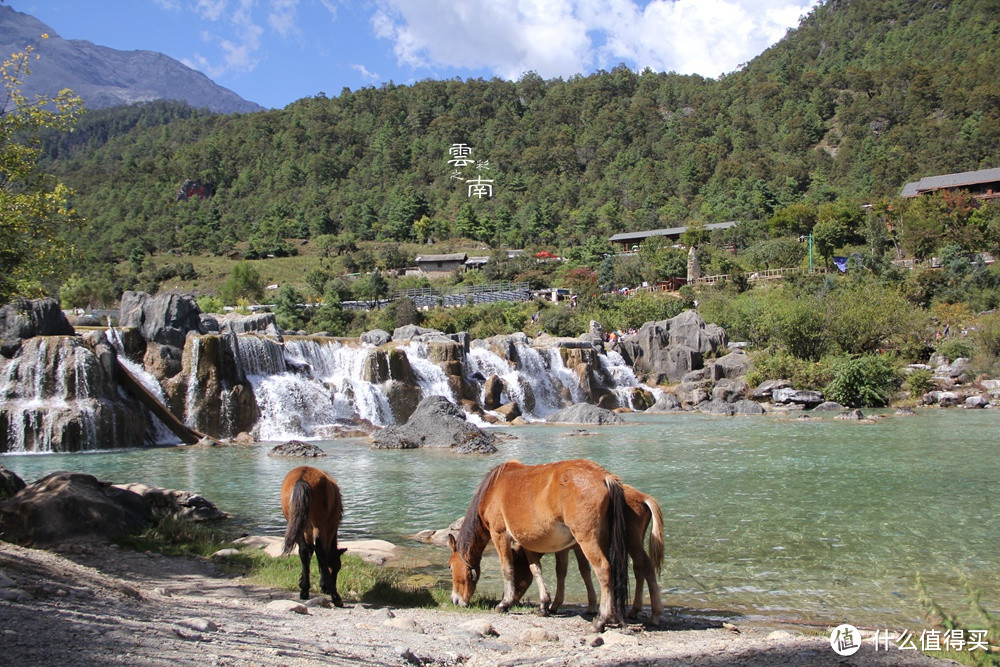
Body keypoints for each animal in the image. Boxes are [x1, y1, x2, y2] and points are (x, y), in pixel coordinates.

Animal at [280, 470, 346, 604]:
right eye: (337, 567)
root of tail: (301, 478)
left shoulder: (307, 531)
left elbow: (308, 552)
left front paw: (302, 581)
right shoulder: (330, 528)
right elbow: (324, 555)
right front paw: (324, 584)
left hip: (297, 523)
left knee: (304, 551)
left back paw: (305, 590)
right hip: (319, 525)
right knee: (320, 551)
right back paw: (335, 596)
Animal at [450, 460, 628, 632]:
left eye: (450, 567)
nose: (455, 600)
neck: (493, 489)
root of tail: (604, 476)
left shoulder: (499, 534)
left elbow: (507, 569)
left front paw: (504, 603)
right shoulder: (528, 542)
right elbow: (536, 569)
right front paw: (544, 604)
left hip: (587, 539)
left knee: (603, 570)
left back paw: (600, 620)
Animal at [516, 482, 664, 624]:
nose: (515, 600)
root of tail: (644, 498)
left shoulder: (568, 548)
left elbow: (565, 570)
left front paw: (555, 605)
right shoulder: (575, 548)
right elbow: (581, 570)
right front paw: (591, 604)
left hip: (632, 542)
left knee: (646, 567)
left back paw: (654, 615)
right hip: (635, 542)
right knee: (639, 569)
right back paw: (633, 611)